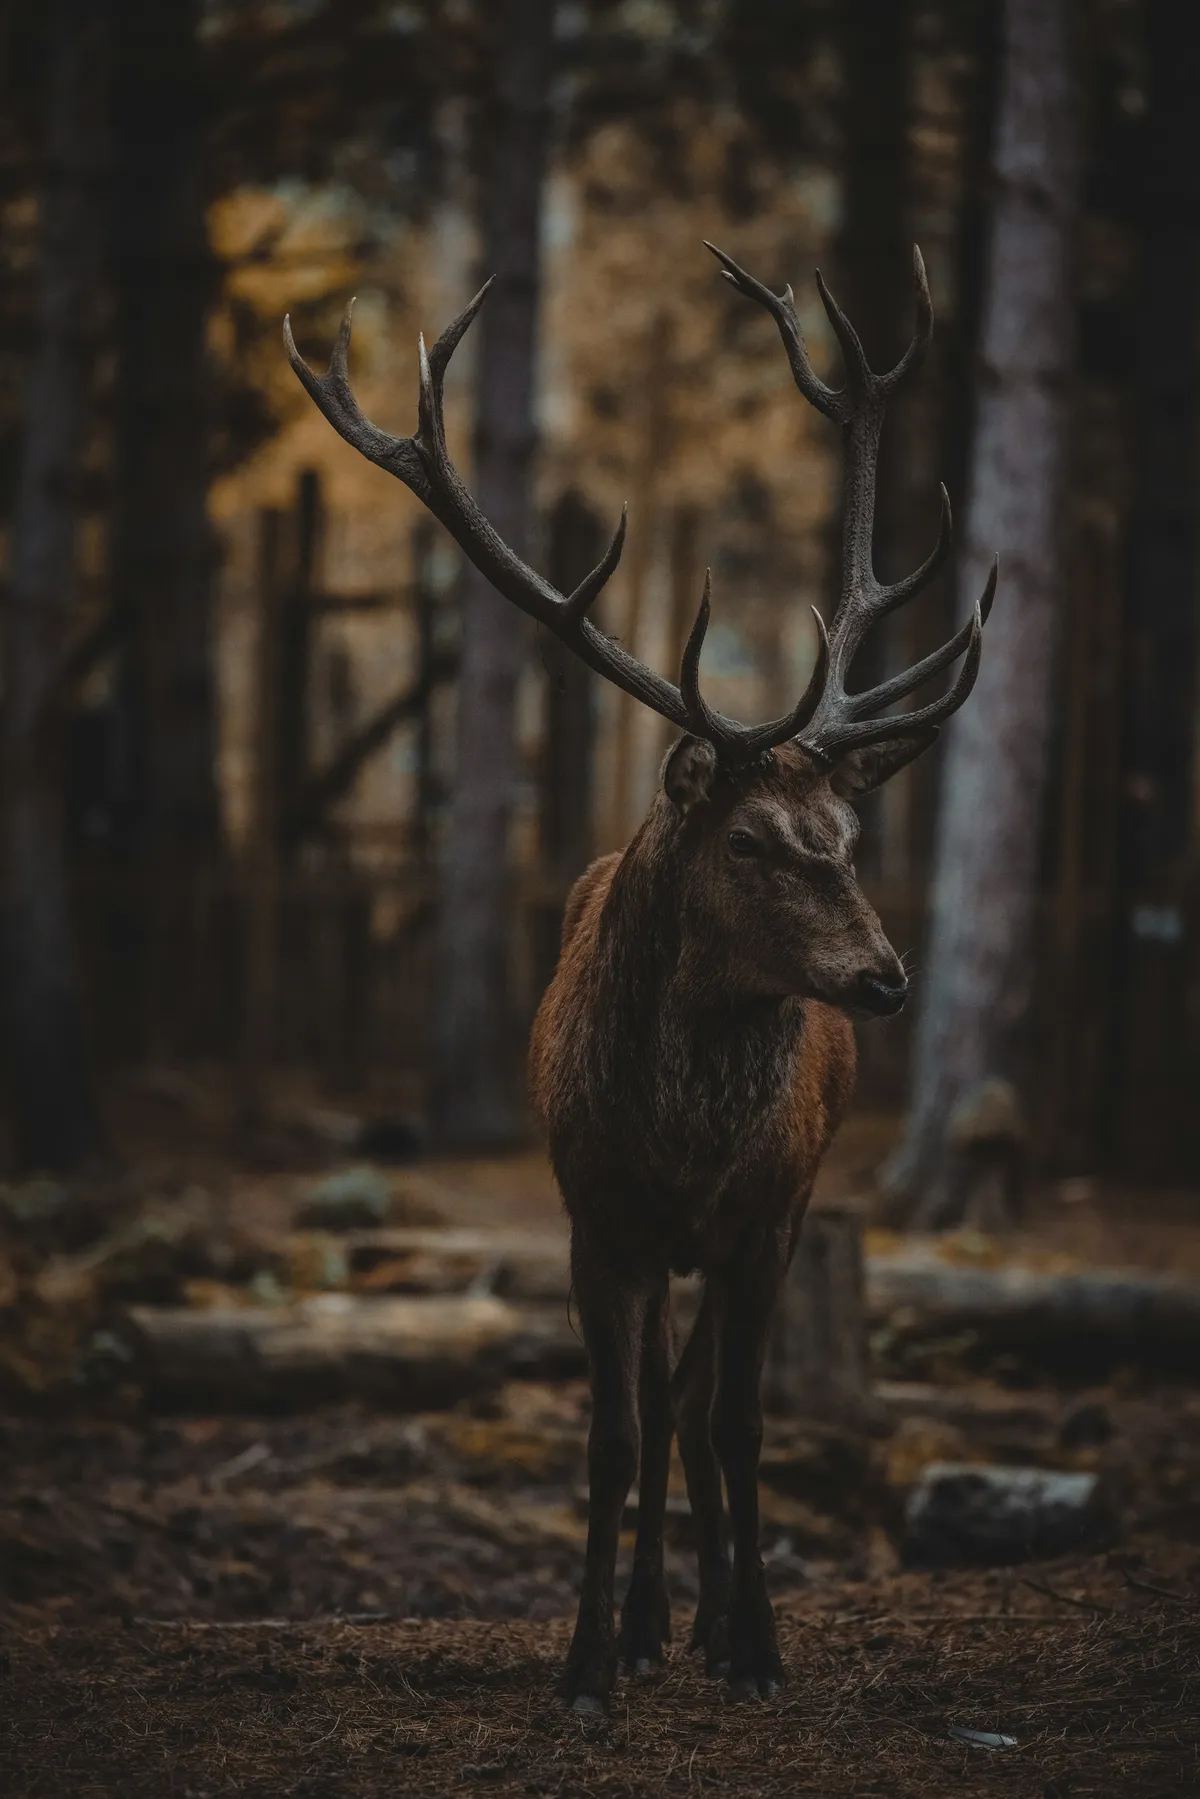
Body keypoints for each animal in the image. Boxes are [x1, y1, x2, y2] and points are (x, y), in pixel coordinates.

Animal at [285, 241, 996, 1712]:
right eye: (748, 839)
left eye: (848, 837)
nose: (883, 978)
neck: (679, 1146)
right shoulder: (593, 1214)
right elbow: (615, 1432)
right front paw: (587, 1660)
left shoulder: (769, 1215)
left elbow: (740, 1422)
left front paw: (758, 1645)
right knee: (660, 1404)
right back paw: (655, 1618)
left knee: (702, 1405)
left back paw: (708, 1617)